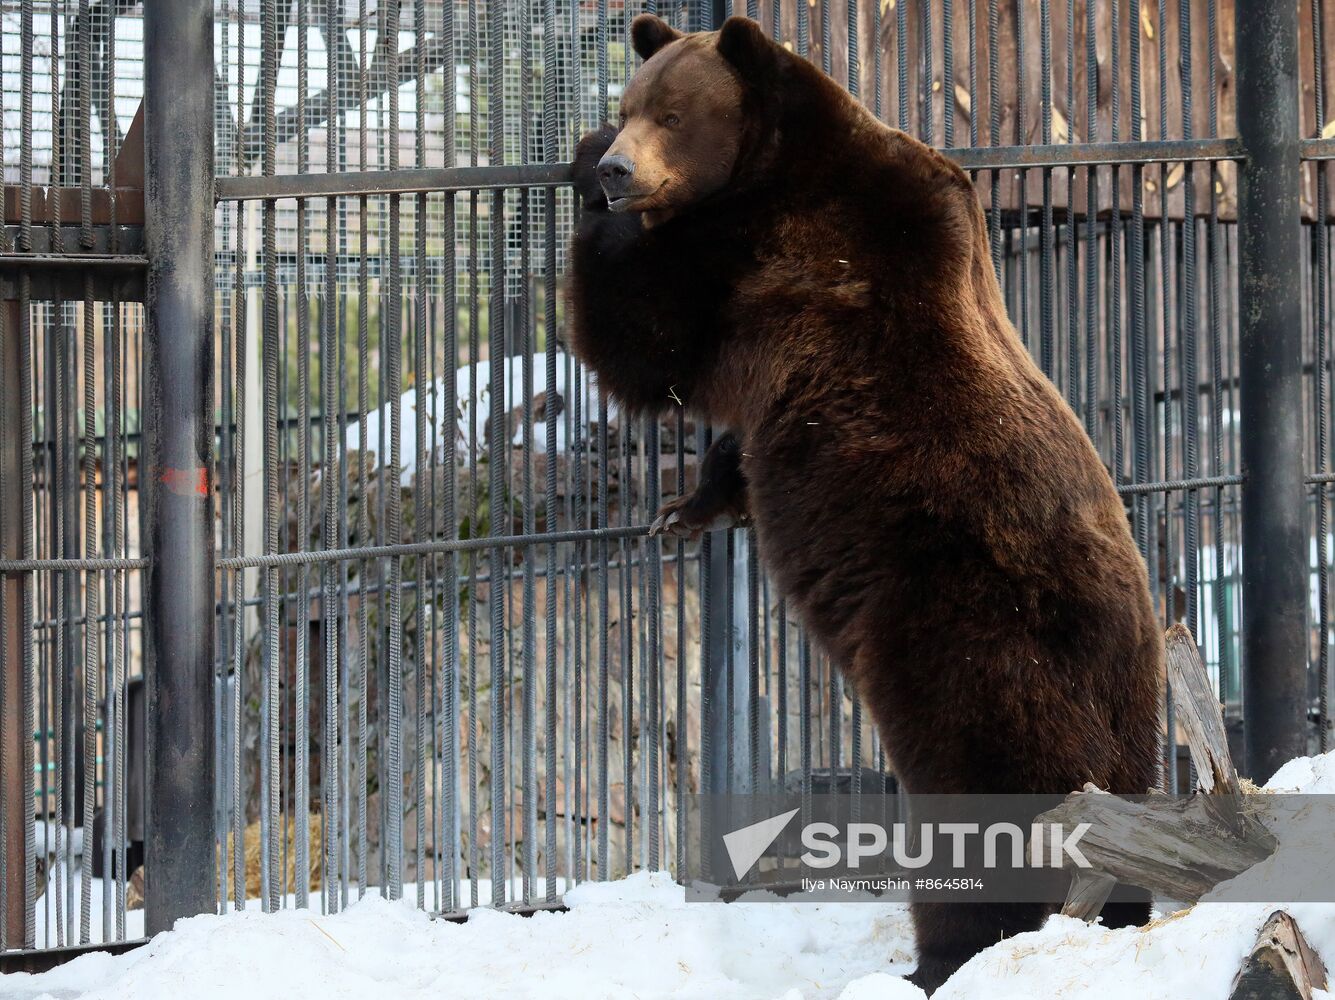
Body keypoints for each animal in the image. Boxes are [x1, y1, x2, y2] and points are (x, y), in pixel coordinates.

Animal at [566, 14, 1163, 994]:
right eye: (631, 103)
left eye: (670, 113)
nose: (619, 168)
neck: (779, 163)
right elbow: (720, 435)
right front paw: (690, 508)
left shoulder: (769, 260)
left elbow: (646, 341)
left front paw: (579, 174)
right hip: (1122, 712)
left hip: (970, 650)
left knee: (983, 817)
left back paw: (947, 958)